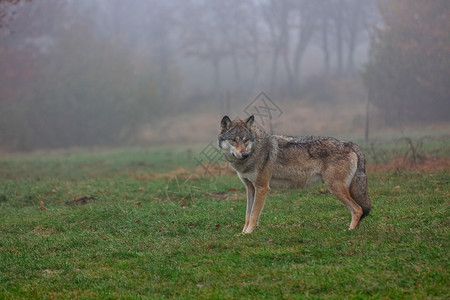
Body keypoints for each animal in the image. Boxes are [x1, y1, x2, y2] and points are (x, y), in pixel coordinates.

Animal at [217, 115, 370, 234]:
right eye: (234, 140)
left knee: (358, 209)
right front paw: (243, 233)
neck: (255, 151)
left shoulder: (262, 188)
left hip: (335, 188)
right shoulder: (250, 189)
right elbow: (248, 215)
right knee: (360, 210)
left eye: (245, 140)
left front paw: (249, 233)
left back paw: (350, 231)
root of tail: (349, 143)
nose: (244, 154)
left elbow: (254, 215)